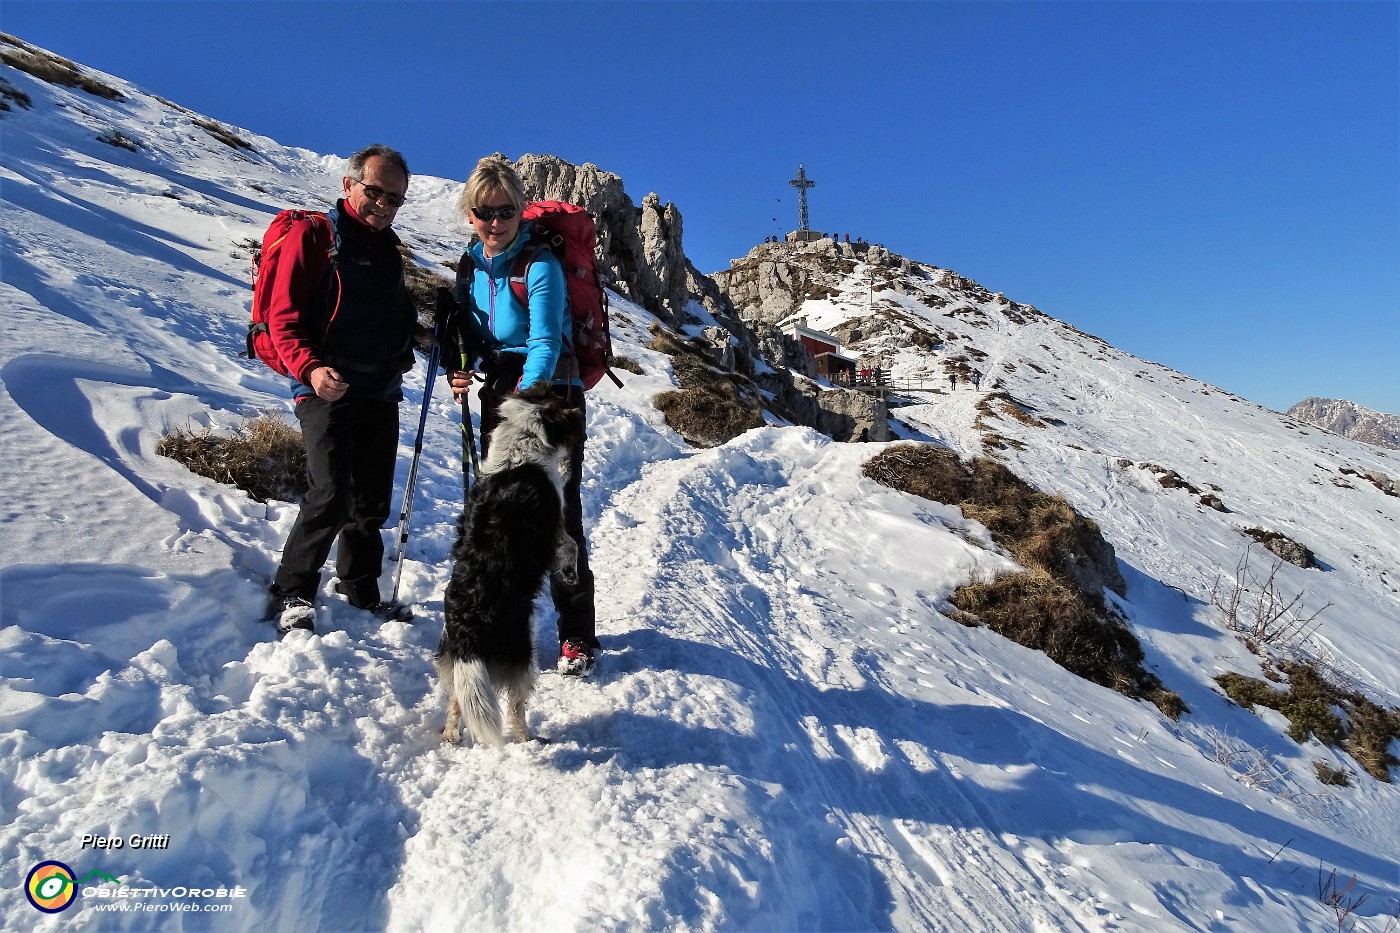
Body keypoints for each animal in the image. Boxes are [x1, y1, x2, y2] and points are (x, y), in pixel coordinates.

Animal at [439, 381, 588, 745]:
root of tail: (468, 632)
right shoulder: (557, 528)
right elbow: (571, 545)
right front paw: (570, 573)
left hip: (454, 661)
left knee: (457, 701)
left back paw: (450, 735)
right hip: (521, 654)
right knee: (515, 708)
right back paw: (527, 738)